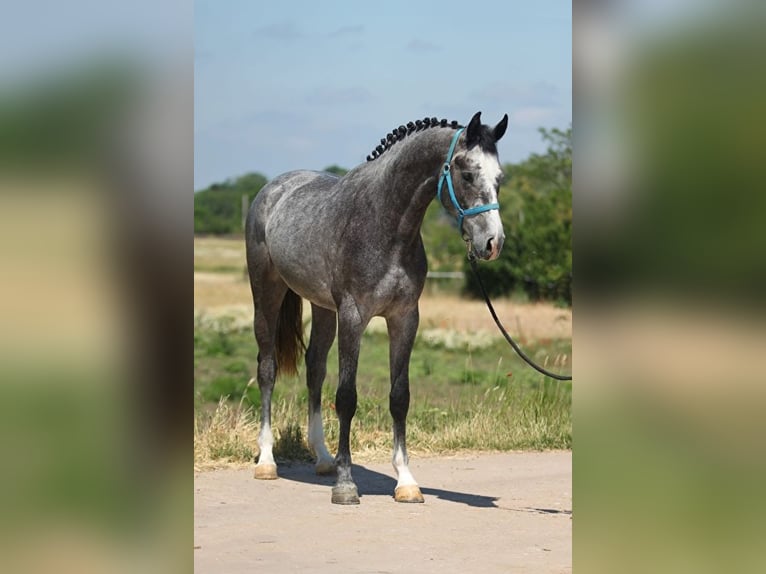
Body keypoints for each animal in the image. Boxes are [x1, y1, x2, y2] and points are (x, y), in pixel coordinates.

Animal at [248, 110, 510, 506]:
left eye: (499, 178)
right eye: (467, 174)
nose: (493, 243)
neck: (385, 224)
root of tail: (273, 188)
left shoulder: (405, 318)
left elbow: (399, 397)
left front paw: (406, 482)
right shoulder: (353, 316)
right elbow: (346, 397)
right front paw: (345, 484)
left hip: (323, 308)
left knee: (315, 368)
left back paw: (322, 457)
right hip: (267, 294)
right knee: (267, 369)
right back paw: (266, 461)